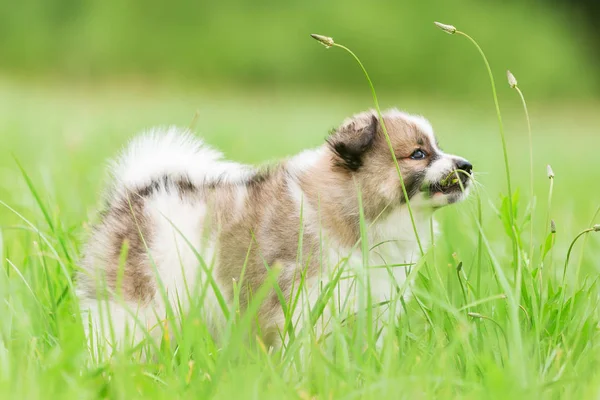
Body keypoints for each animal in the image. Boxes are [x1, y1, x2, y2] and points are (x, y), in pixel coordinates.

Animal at [77, 108, 474, 354]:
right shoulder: (307, 304)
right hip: (134, 308)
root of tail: (134, 195)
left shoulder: (373, 307)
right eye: (418, 154)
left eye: (436, 148)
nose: (467, 165)